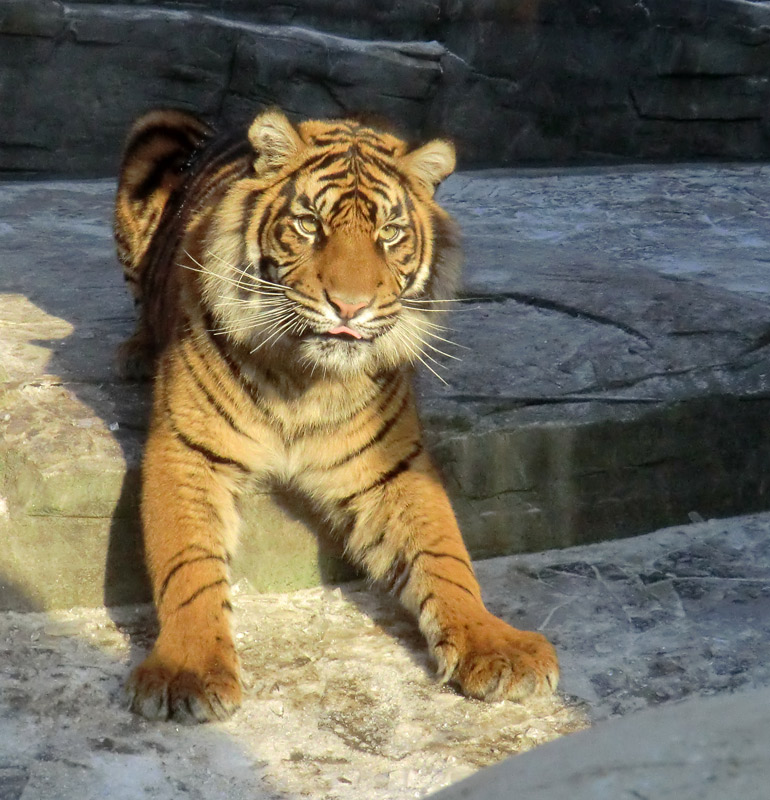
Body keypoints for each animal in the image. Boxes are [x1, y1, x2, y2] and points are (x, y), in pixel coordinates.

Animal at [114, 106, 556, 724]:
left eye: (389, 233)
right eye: (308, 225)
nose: (349, 306)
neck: (305, 378)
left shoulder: (391, 465)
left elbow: (445, 556)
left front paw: (495, 645)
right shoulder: (187, 449)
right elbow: (188, 564)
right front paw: (188, 670)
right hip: (154, 132)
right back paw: (134, 354)